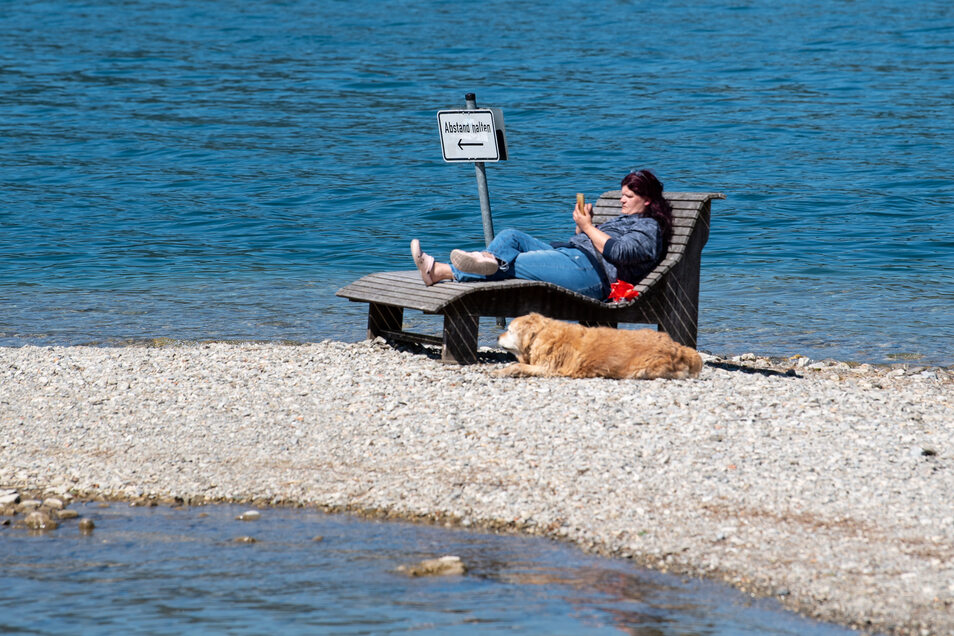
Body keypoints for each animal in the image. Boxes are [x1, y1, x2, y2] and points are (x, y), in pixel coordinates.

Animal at [494, 312, 704, 380]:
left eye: (509, 330)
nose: (497, 336)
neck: (541, 334)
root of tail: (678, 347)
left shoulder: (551, 369)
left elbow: (518, 365)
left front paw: (500, 372)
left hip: (644, 368)